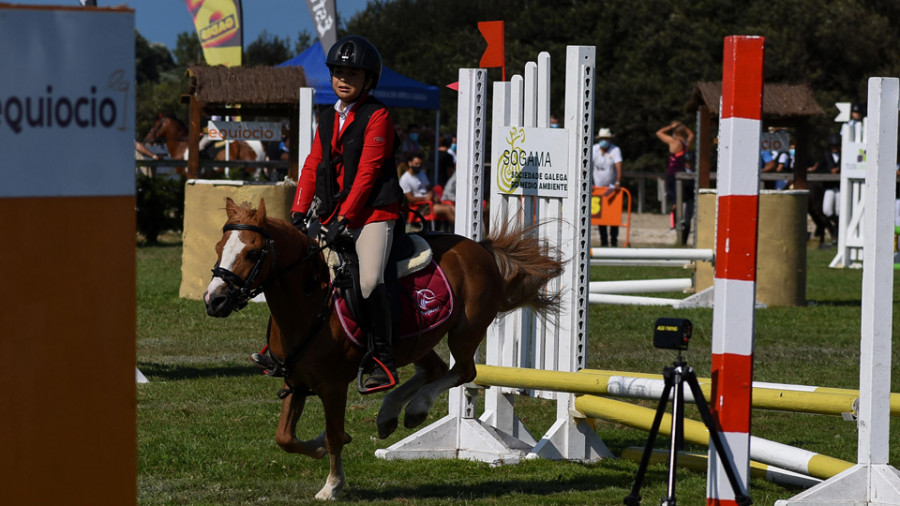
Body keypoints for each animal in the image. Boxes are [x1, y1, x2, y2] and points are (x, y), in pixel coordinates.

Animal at [204, 197, 564, 498]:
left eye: (252, 253)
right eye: (219, 247)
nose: (213, 300)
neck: (308, 301)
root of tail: (480, 249)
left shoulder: (333, 386)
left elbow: (334, 434)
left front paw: (332, 485)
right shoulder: (295, 380)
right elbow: (286, 437)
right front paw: (318, 447)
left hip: (466, 330)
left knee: (463, 371)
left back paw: (416, 407)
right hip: (417, 340)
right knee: (432, 368)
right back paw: (390, 413)